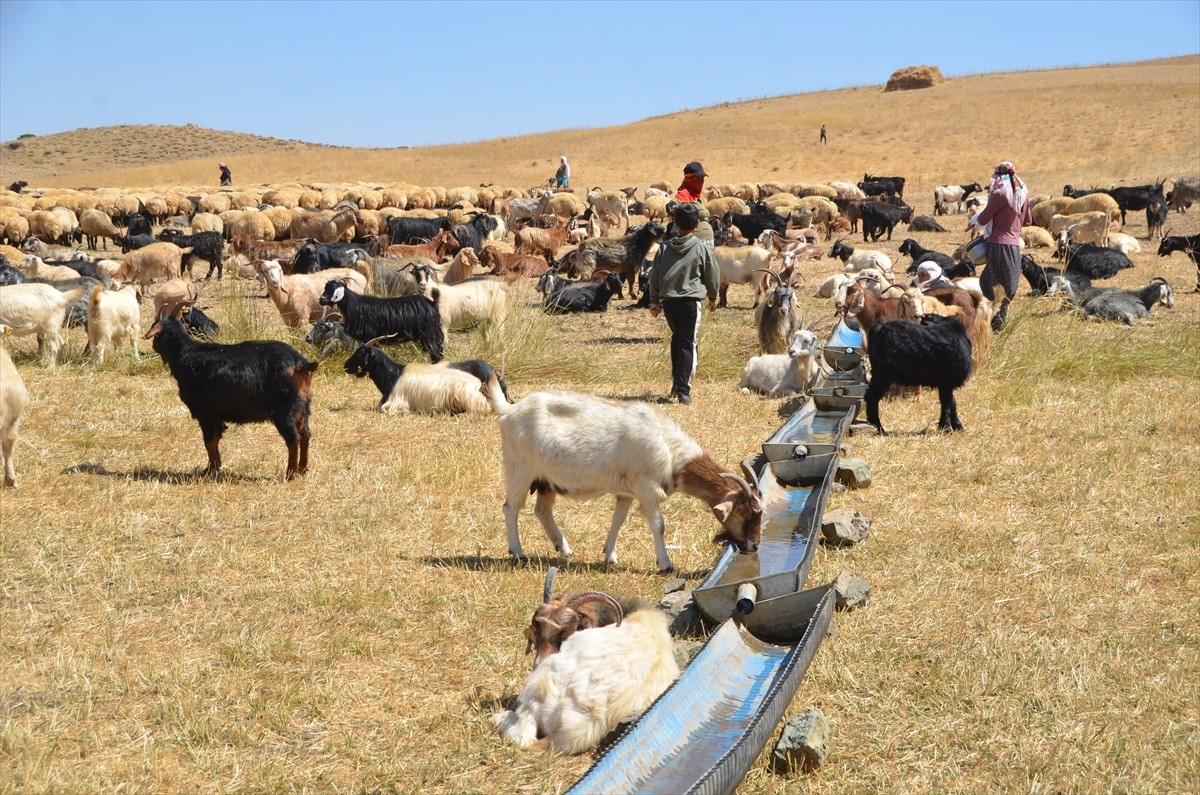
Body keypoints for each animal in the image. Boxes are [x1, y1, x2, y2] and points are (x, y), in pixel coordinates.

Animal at [144, 314, 319, 480]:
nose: (152, 345)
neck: (184, 355)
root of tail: (301, 363)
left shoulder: (206, 413)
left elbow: (209, 441)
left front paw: (209, 471)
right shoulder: (216, 415)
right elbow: (215, 439)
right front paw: (214, 467)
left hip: (284, 410)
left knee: (293, 438)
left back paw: (290, 474)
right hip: (303, 408)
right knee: (305, 435)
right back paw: (303, 469)